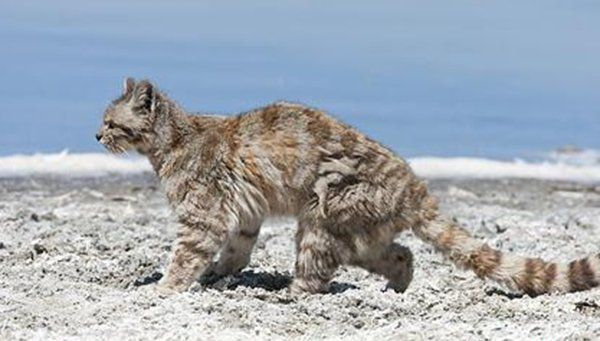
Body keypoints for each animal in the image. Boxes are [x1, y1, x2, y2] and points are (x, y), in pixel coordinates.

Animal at [96, 77, 596, 294]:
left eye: (110, 122)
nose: (95, 136)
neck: (175, 139)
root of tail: (413, 185)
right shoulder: (242, 213)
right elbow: (237, 248)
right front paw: (220, 272)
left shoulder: (204, 213)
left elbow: (185, 256)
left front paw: (166, 288)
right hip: (360, 233)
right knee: (400, 252)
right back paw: (398, 286)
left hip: (323, 218)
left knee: (317, 274)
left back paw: (294, 294)